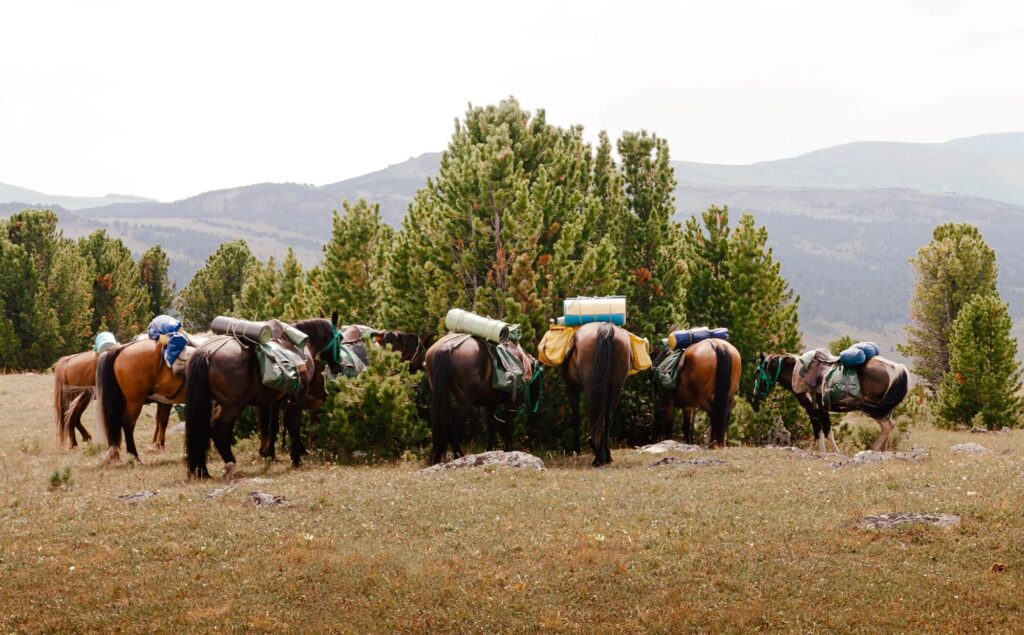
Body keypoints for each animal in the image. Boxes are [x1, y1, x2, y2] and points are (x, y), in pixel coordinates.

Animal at [185, 317, 340, 477]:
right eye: (340, 337)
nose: (338, 367)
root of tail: (207, 352)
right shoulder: (299, 395)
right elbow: (294, 424)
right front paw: (296, 458)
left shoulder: (277, 399)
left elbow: (274, 426)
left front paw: (271, 455)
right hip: (232, 406)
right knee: (218, 429)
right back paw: (229, 463)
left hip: (217, 404)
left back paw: (203, 470)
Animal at [424, 333, 539, 465]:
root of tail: (446, 347)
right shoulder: (511, 404)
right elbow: (508, 428)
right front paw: (509, 452)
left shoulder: (490, 404)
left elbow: (491, 427)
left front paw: (489, 453)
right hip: (466, 403)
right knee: (451, 427)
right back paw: (460, 456)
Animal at [562, 322, 633, 467]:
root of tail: (606, 328)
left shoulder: (571, 388)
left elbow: (575, 417)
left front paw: (576, 449)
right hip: (616, 387)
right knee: (607, 418)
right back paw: (605, 456)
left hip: (591, 386)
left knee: (595, 416)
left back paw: (598, 455)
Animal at [750, 352, 909, 452]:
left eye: (758, 371)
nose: (755, 394)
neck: (798, 373)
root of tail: (897, 368)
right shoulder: (822, 410)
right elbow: (827, 432)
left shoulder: (813, 410)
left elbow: (820, 433)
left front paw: (824, 453)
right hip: (885, 410)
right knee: (887, 429)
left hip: (874, 409)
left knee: (888, 426)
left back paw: (873, 448)